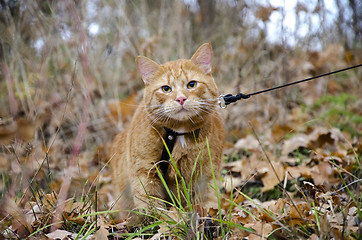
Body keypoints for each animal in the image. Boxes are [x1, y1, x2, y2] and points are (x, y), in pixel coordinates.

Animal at [110, 43, 223, 223]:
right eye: (166, 89)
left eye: (192, 84)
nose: (181, 99)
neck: (178, 135)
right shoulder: (145, 172)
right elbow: (151, 204)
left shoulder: (206, 174)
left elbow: (208, 201)